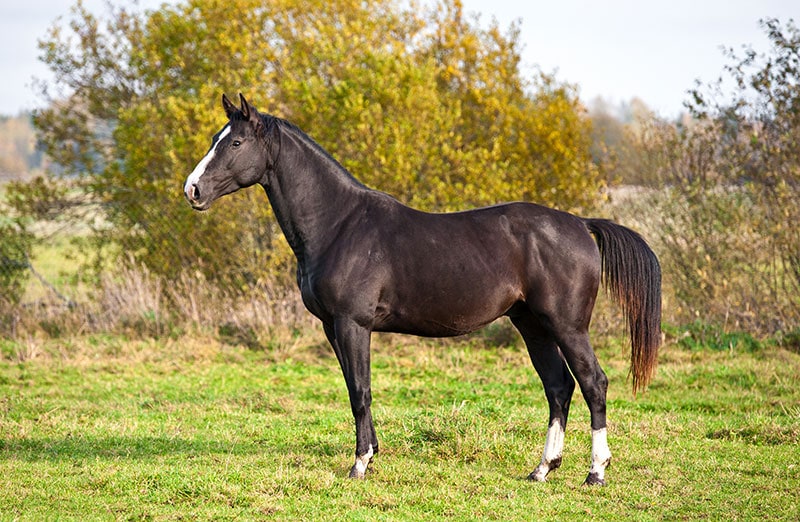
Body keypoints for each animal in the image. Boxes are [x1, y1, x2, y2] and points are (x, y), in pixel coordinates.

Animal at [183, 93, 661, 486]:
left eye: (236, 143)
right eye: (215, 139)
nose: (193, 190)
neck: (339, 223)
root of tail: (581, 224)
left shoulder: (353, 324)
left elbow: (361, 391)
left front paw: (359, 464)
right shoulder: (332, 328)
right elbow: (353, 388)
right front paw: (372, 453)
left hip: (567, 326)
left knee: (593, 383)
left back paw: (595, 472)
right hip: (533, 325)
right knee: (558, 387)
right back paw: (542, 469)